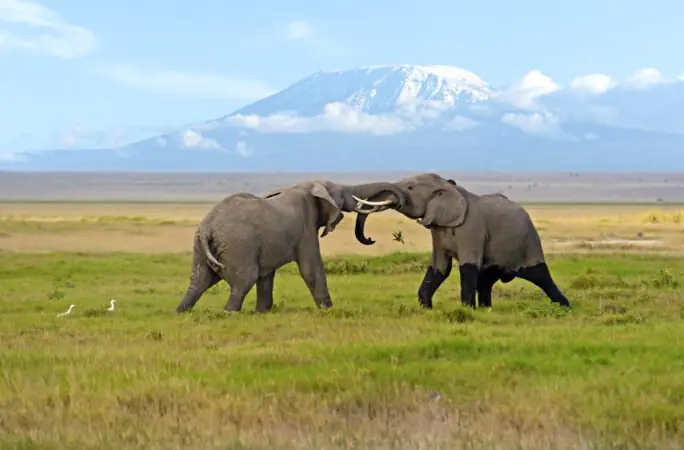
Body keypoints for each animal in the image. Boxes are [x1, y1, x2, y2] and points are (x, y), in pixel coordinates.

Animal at [175, 179, 408, 314]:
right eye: (342, 194)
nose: (370, 239)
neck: (307, 186)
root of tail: (208, 226)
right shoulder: (306, 227)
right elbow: (311, 268)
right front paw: (328, 311)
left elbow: (266, 276)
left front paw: (262, 313)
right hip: (238, 246)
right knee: (244, 280)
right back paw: (229, 313)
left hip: (202, 246)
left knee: (199, 281)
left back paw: (181, 312)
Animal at [351, 172, 571, 310]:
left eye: (410, 187)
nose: (370, 239)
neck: (448, 188)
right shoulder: (438, 229)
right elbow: (440, 267)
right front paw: (426, 308)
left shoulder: (472, 228)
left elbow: (467, 267)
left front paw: (466, 310)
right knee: (486, 280)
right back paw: (486, 310)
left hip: (529, 241)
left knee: (540, 275)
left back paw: (565, 307)